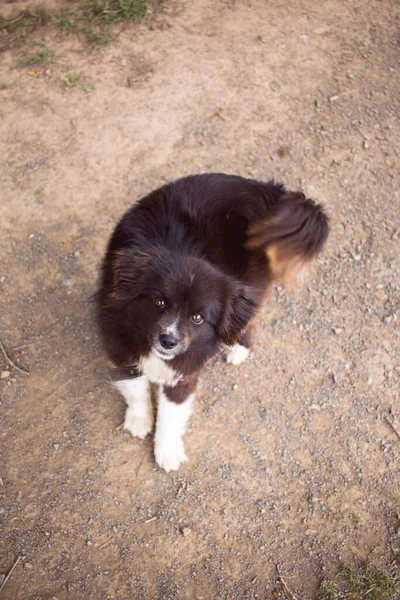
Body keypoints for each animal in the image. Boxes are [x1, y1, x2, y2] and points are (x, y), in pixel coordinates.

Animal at [95, 173, 330, 474]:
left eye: (198, 318)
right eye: (158, 302)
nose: (168, 341)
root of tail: (269, 191)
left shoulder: (186, 370)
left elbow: (171, 413)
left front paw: (167, 450)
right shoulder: (119, 346)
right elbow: (136, 388)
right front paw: (139, 419)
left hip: (250, 283)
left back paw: (238, 347)